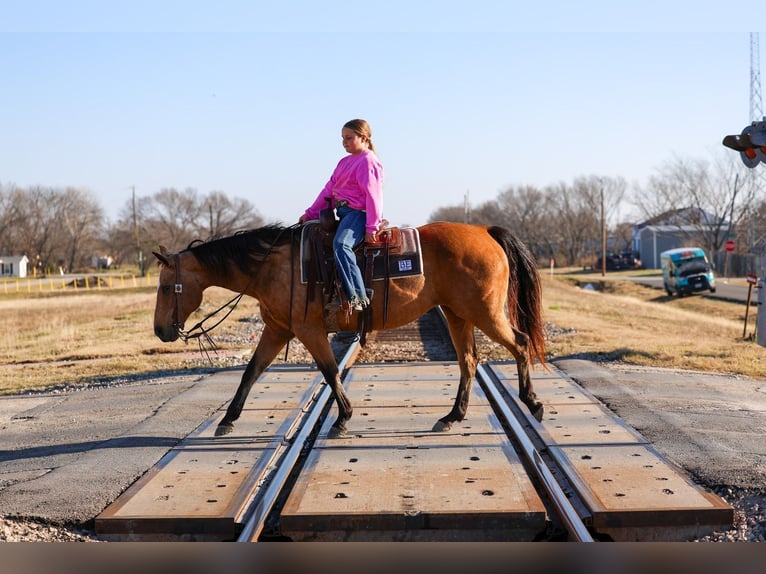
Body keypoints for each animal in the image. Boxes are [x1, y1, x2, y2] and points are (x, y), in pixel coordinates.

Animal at [152, 221, 546, 438]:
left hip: (485, 313)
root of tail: (485, 231)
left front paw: (343, 418)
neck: (272, 267)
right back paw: (452, 417)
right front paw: (228, 419)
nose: (160, 330)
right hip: (457, 314)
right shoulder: (278, 330)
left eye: (165, 287)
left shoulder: (308, 331)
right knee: (469, 361)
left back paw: (532, 401)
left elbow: (330, 371)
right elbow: (252, 371)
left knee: (520, 343)